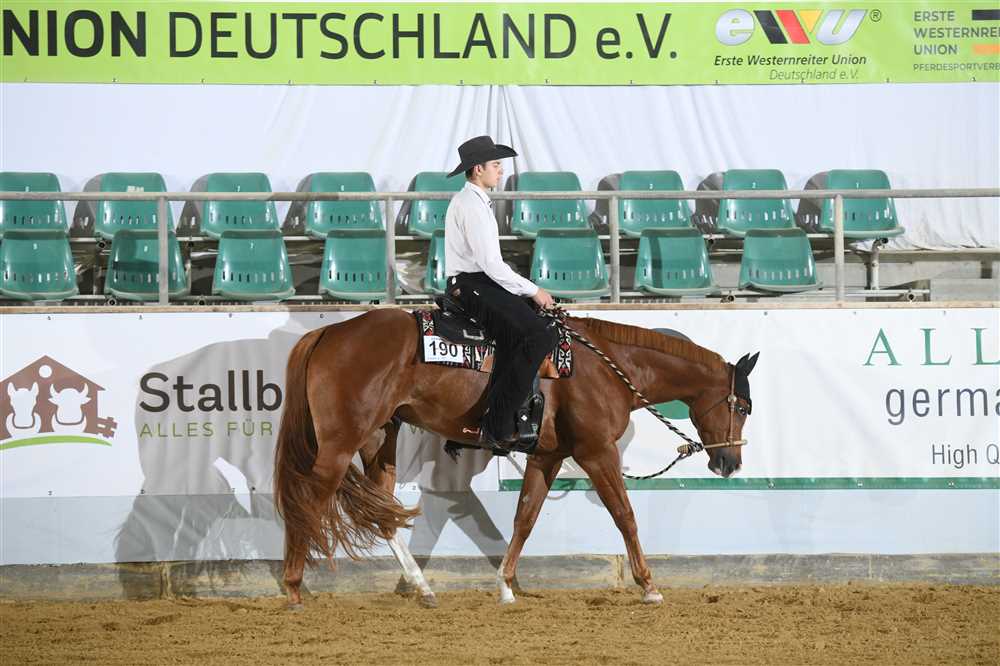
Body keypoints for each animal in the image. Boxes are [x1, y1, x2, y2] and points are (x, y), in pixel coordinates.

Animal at [274, 308, 758, 608]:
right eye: (741, 407)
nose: (729, 464)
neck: (603, 368)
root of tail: (328, 332)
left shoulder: (547, 456)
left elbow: (525, 517)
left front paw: (505, 587)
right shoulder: (596, 451)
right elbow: (624, 515)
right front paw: (649, 586)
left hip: (380, 439)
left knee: (383, 513)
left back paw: (424, 589)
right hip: (339, 445)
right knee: (309, 500)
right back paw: (294, 588)